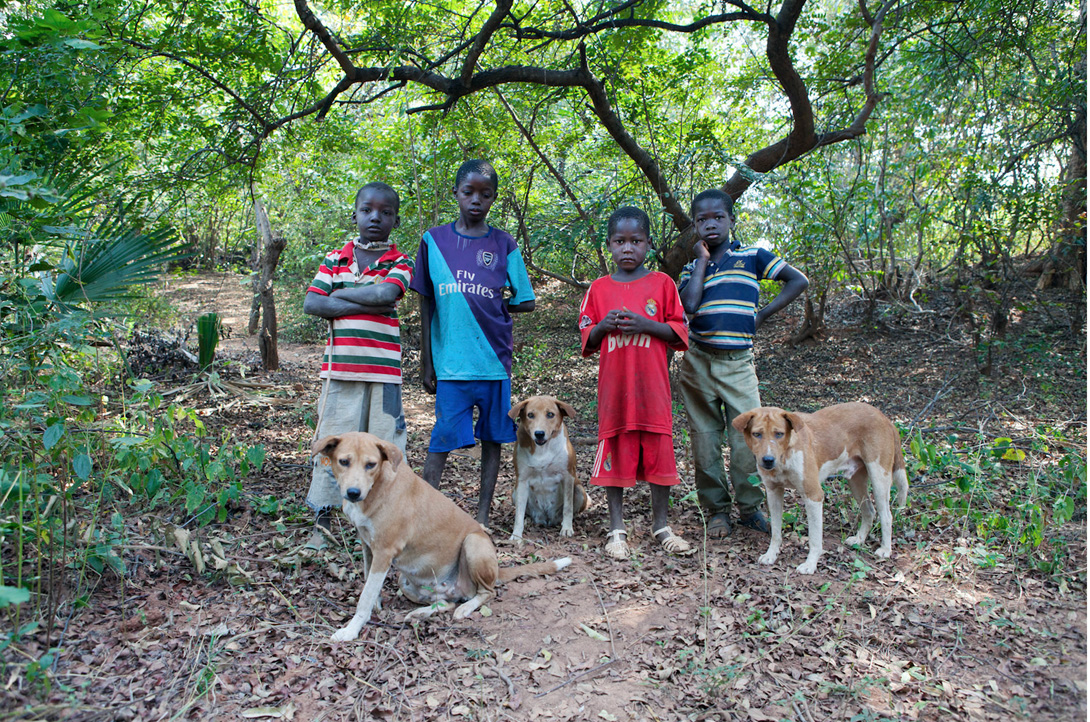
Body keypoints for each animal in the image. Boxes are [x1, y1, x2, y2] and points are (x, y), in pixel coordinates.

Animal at [311, 432, 571, 641]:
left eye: (371, 464)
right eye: (344, 462)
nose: (353, 493)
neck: (377, 487)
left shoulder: (384, 552)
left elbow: (364, 599)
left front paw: (351, 630)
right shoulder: (368, 546)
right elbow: (369, 585)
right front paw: (375, 606)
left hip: (473, 544)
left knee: (486, 593)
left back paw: (465, 609)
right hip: (406, 581)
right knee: (446, 602)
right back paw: (420, 613)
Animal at [507, 396, 588, 542]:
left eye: (550, 414)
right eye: (530, 415)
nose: (539, 433)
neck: (542, 449)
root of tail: (547, 519)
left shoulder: (568, 476)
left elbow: (568, 507)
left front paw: (567, 528)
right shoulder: (522, 480)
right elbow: (519, 513)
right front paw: (516, 534)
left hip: (579, 490)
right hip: (514, 492)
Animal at [732, 402, 908, 575]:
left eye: (779, 434)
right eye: (757, 434)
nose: (768, 460)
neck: (785, 457)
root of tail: (884, 417)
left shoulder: (813, 495)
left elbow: (814, 538)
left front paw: (810, 564)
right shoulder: (773, 493)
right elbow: (775, 531)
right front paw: (771, 555)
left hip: (879, 478)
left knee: (886, 516)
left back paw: (885, 549)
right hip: (855, 481)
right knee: (869, 511)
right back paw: (859, 539)